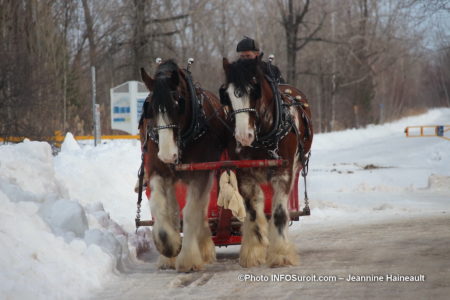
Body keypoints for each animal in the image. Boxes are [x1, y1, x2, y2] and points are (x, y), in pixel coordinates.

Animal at [139, 59, 227, 270]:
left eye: (178, 104)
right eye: (149, 108)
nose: (167, 154)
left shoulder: (200, 173)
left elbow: (191, 212)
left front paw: (189, 258)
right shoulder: (157, 171)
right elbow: (161, 206)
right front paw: (169, 245)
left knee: (200, 208)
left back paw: (204, 246)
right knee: (172, 207)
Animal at [221, 56, 312, 268]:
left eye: (255, 90)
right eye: (226, 94)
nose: (243, 136)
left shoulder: (284, 172)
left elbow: (278, 212)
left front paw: (281, 254)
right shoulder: (245, 174)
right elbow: (254, 211)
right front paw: (255, 250)